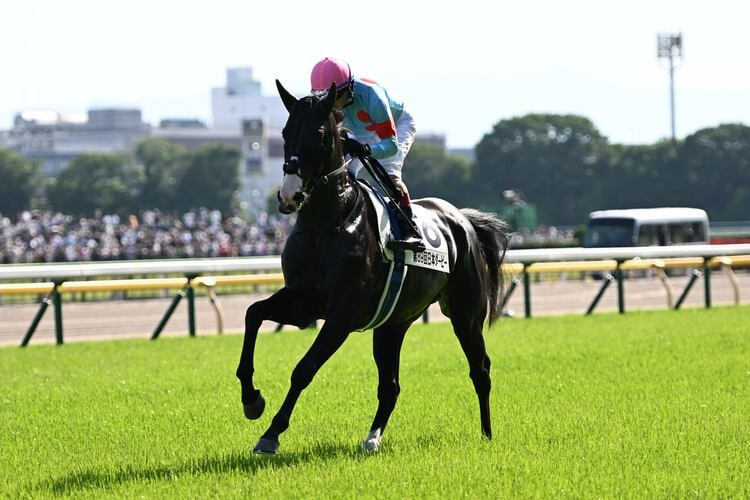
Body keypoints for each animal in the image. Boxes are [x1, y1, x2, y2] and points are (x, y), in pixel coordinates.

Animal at [235, 80, 510, 454]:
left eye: (320, 132)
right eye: (285, 132)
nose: (289, 195)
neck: (326, 225)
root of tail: (463, 220)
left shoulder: (343, 313)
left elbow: (304, 369)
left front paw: (271, 433)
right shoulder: (303, 302)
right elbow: (253, 314)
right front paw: (252, 400)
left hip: (465, 315)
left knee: (480, 370)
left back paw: (486, 434)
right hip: (393, 323)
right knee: (391, 386)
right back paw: (372, 437)